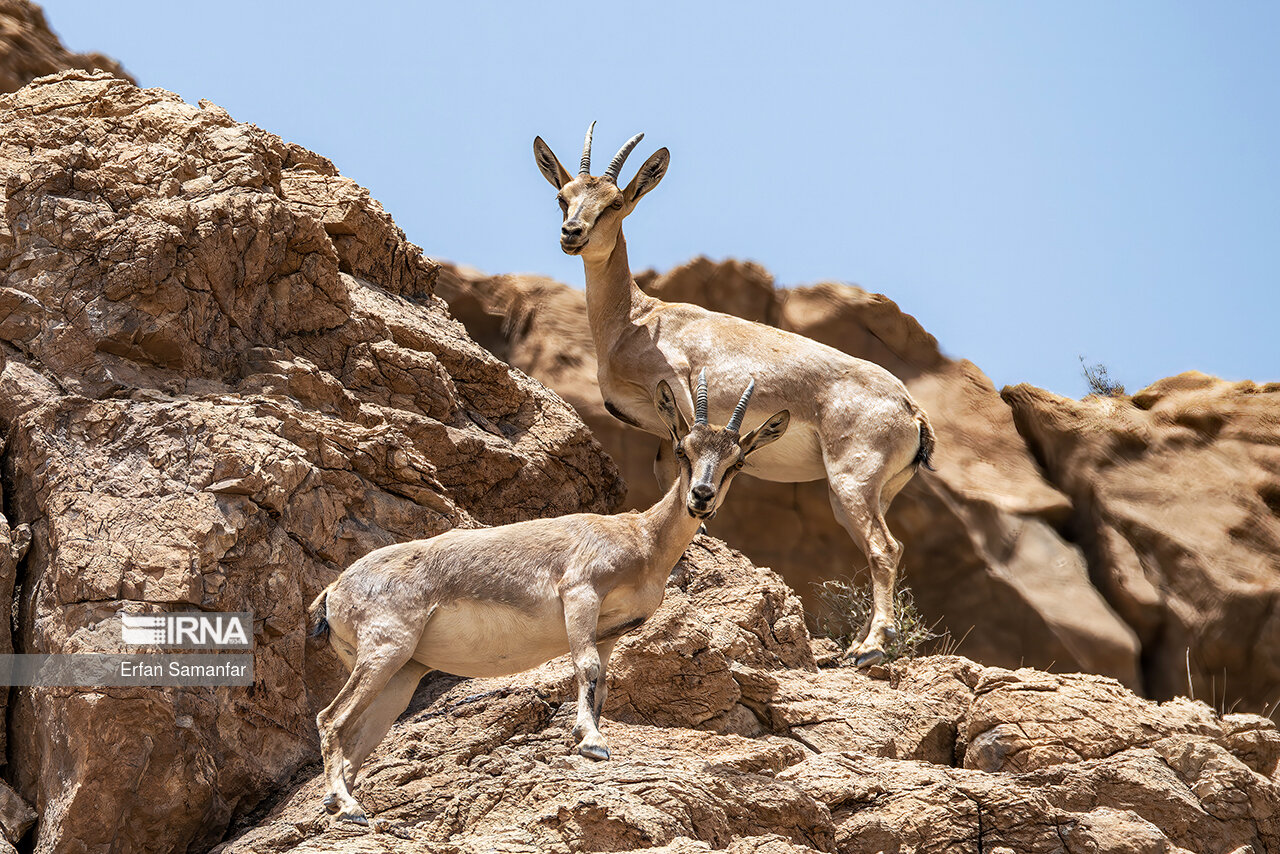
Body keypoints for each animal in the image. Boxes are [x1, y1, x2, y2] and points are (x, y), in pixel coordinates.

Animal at [309, 373, 788, 829]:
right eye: (683, 449)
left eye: (737, 461)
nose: (701, 497)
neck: (641, 539)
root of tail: (334, 592)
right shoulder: (580, 592)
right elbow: (586, 667)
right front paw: (593, 744)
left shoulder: (610, 631)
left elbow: (602, 684)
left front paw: (587, 737)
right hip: (386, 649)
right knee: (330, 718)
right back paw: (348, 809)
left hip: (403, 674)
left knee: (357, 740)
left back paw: (343, 804)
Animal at [532, 123, 942, 665]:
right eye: (564, 196)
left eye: (616, 201)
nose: (572, 234)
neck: (637, 319)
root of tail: (910, 409)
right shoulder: (667, 433)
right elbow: (668, 475)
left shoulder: (681, 397)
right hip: (876, 493)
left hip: (851, 485)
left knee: (884, 548)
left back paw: (871, 648)